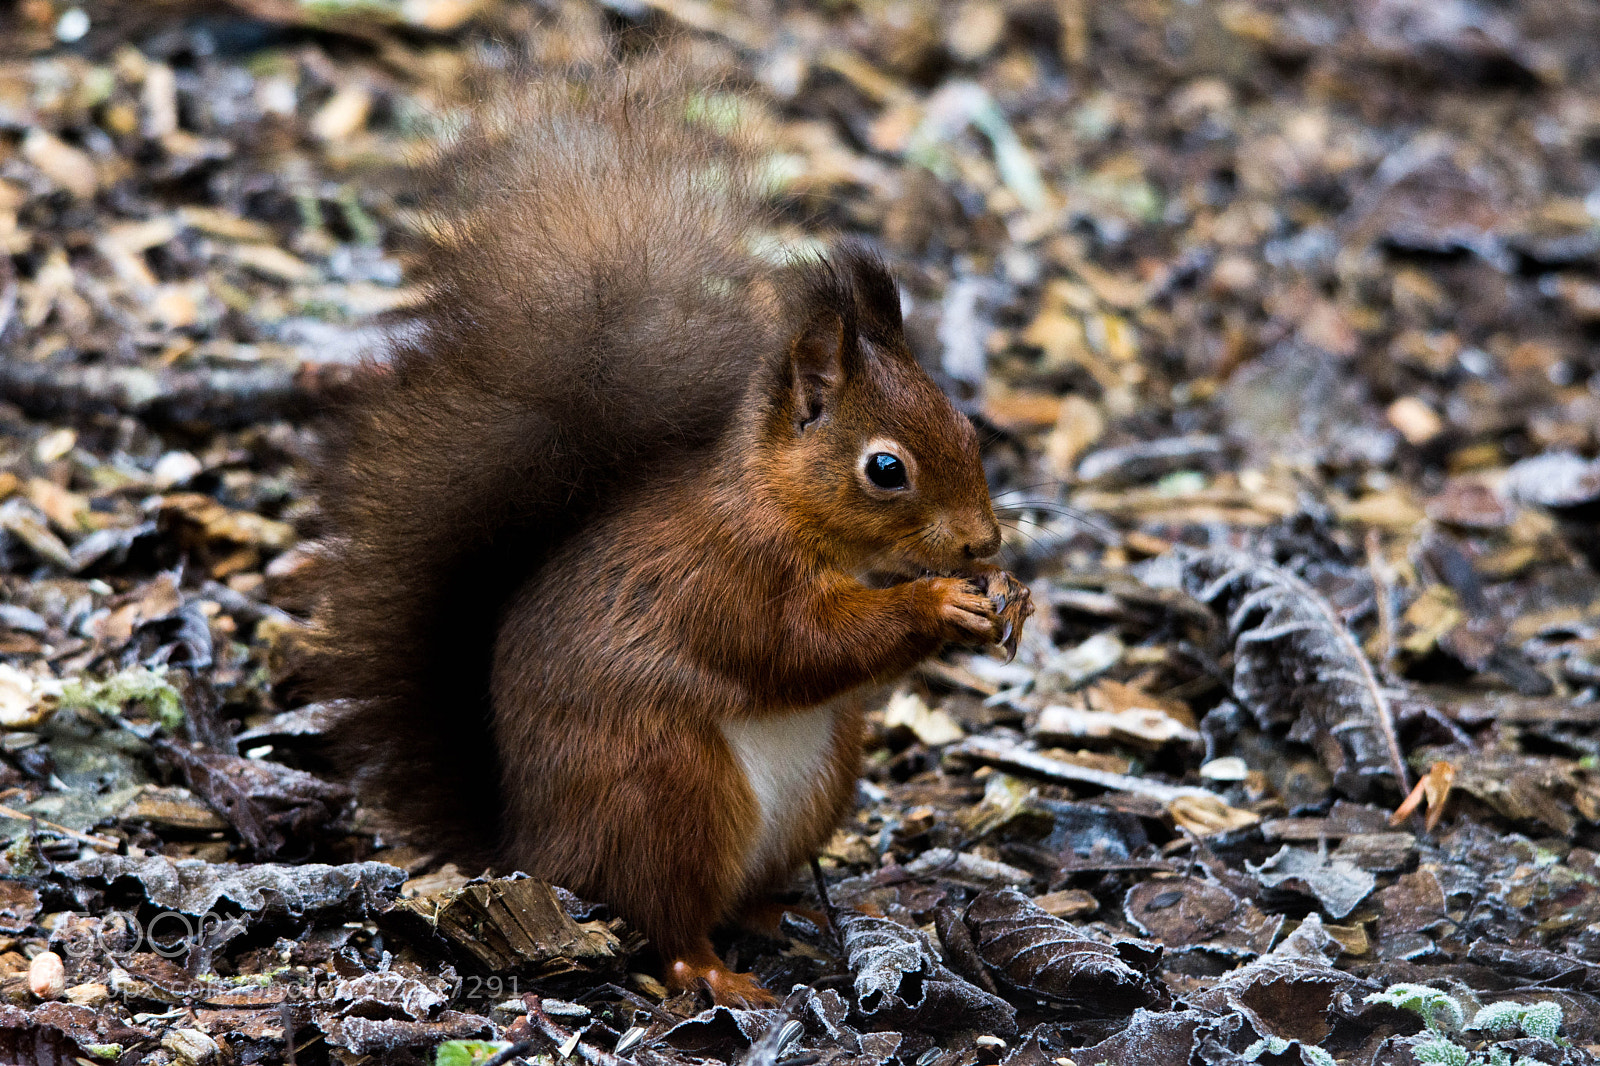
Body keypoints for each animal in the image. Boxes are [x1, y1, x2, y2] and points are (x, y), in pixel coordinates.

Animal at [306, 54, 1032, 1006]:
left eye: (968, 429)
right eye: (886, 469)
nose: (984, 545)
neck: (780, 505)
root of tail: (535, 851)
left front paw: (1010, 596)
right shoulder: (731, 575)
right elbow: (801, 646)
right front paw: (943, 602)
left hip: (820, 779)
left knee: (740, 895)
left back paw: (786, 915)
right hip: (669, 790)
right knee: (668, 919)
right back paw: (722, 975)